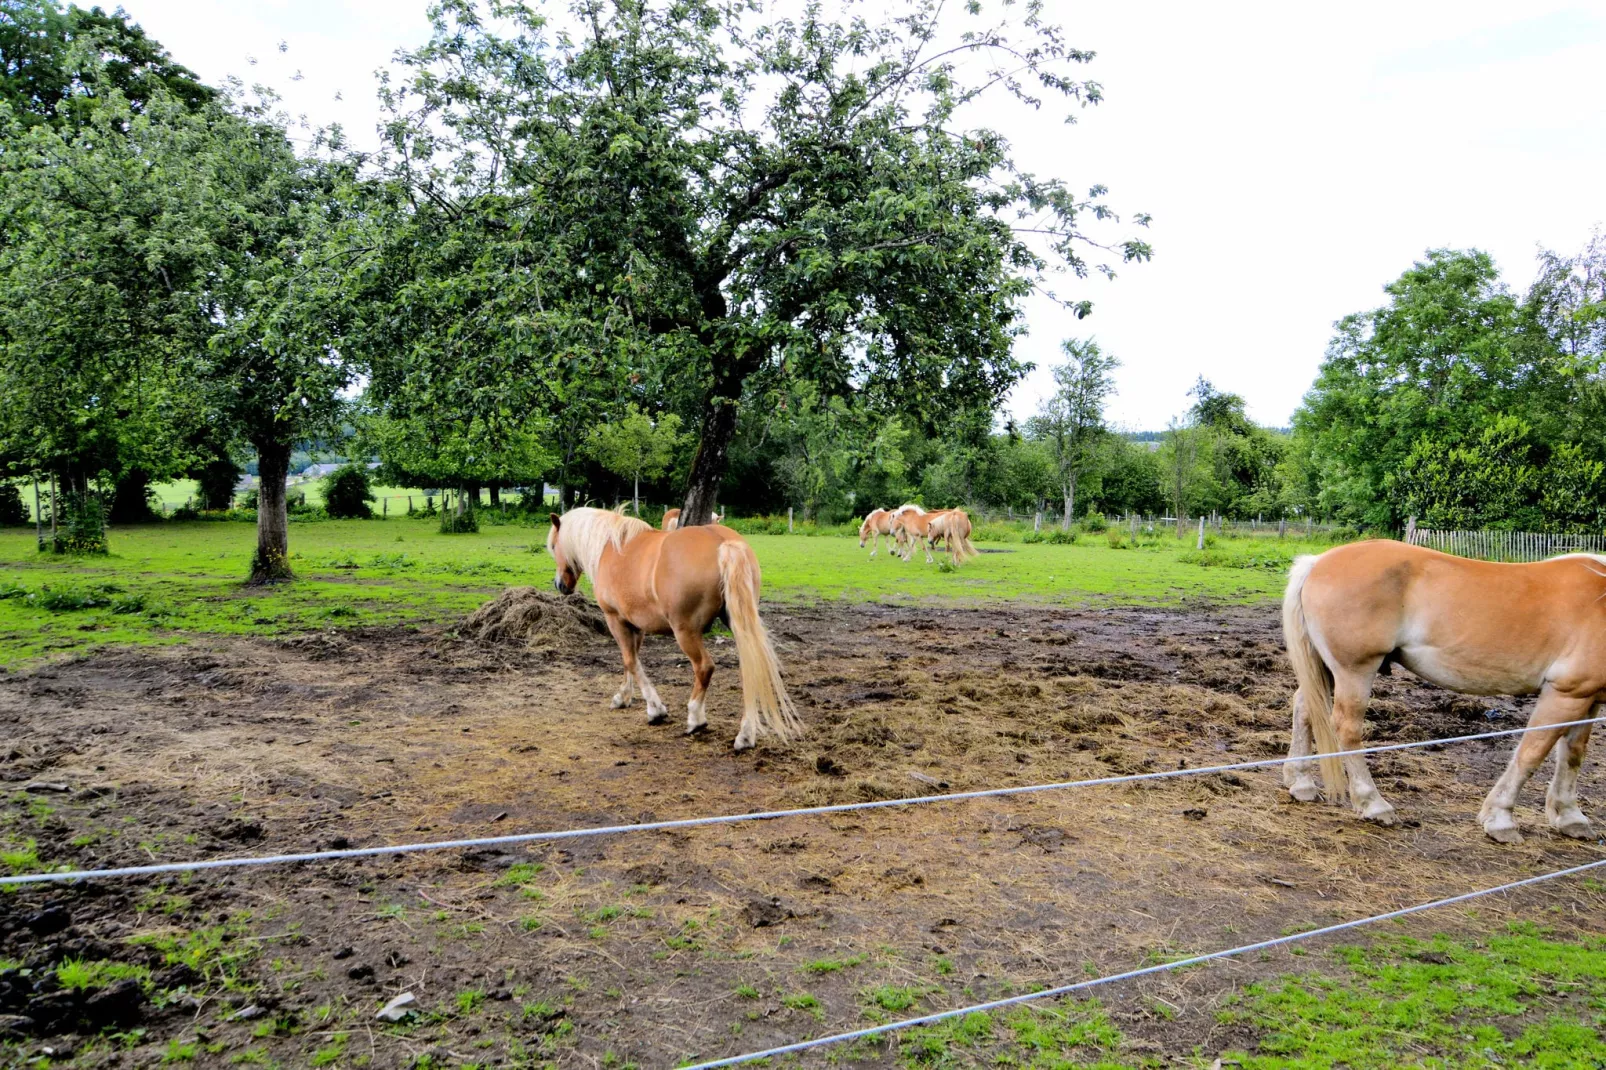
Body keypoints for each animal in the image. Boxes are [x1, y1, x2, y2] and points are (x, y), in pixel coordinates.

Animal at [552, 507, 803, 748]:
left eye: (553, 546)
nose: (560, 585)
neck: (611, 547)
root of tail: (723, 543)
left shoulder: (615, 619)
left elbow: (630, 661)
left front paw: (655, 710)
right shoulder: (636, 625)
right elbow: (632, 660)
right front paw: (623, 696)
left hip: (685, 632)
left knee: (704, 667)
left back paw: (695, 719)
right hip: (738, 623)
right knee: (750, 668)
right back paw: (745, 735)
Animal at [1284, 543, 1599, 841]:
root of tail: (1317, 562)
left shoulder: (1588, 698)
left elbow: (1573, 753)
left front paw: (1570, 818)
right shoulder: (1565, 694)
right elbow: (1531, 754)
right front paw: (1500, 819)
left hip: (1325, 669)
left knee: (1304, 708)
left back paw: (1301, 783)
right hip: (1354, 671)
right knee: (1346, 729)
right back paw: (1373, 804)